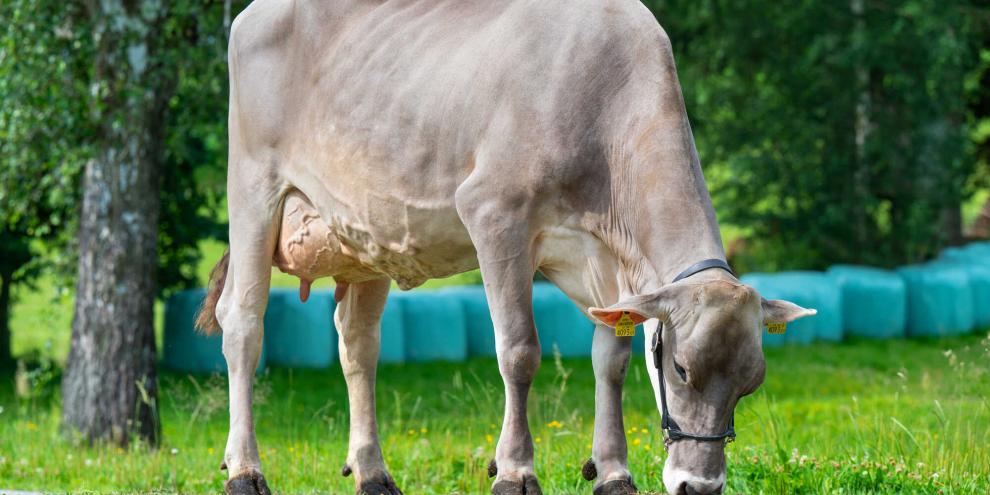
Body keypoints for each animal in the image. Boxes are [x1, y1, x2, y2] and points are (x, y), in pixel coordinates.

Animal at [198, 0, 816, 495]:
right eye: (682, 370)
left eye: (752, 382)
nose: (699, 485)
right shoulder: (495, 213)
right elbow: (519, 350)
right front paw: (515, 471)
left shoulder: (602, 262)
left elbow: (611, 358)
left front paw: (614, 472)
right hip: (252, 188)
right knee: (244, 324)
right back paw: (244, 470)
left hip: (363, 229)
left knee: (358, 344)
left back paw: (373, 473)